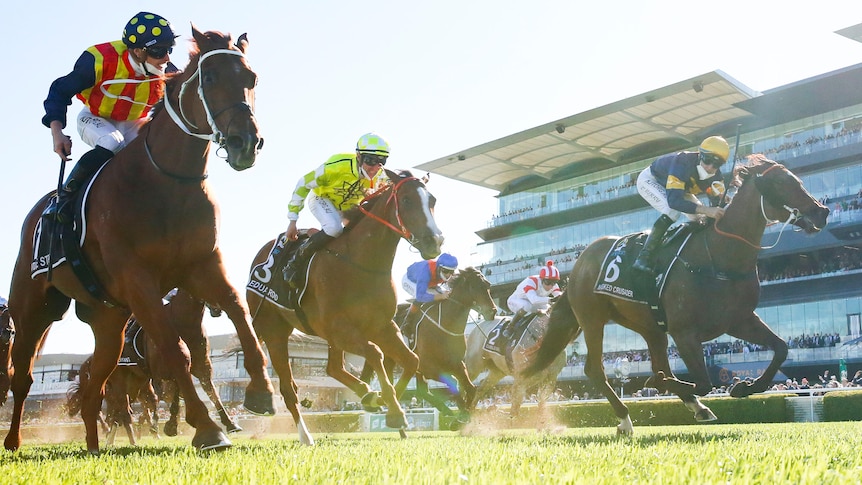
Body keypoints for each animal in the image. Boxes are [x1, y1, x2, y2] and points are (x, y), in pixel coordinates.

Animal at [5, 27, 276, 454]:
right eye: (211, 77)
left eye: (251, 79)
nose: (244, 143)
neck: (168, 182)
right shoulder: (139, 280)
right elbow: (174, 351)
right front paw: (206, 428)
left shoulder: (203, 264)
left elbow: (239, 313)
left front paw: (261, 392)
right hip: (33, 308)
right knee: (24, 375)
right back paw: (14, 440)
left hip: (109, 320)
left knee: (97, 388)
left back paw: (94, 443)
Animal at [245, 169, 442, 442]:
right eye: (406, 200)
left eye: (432, 200)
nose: (434, 241)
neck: (360, 263)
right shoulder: (340, 328)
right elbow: (376, 353)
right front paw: (394, 411)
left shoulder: (382, 326)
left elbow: (412, 360)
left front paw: (387, 404)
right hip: (275, 331)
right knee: (288, 387)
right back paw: (305, 435)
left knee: (333, 367)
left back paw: (367, 394)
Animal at [360, 266, 496, 422]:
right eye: (475, 286)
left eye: (488, 285)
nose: (493, 312)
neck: (445, 324)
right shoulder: (428, 367)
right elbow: (454, 384)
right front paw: (460, 414)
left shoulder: (456, 364)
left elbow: (470, 388)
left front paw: (464, 414)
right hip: (390, 359)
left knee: (422, 391)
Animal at [524, 153, 832, 432]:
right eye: (781, 183)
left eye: (797, 180)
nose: (822, 212)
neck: (718, 257)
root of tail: (579, 263)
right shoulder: (685, 332)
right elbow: (703, 381)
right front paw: (663, 384)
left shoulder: (739, 320)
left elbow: (780, 348)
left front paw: (744, 387)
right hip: (592, 319)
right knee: (595, 370)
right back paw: (625, 419)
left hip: (649, 325)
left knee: (658, 362)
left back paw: (696, 406)